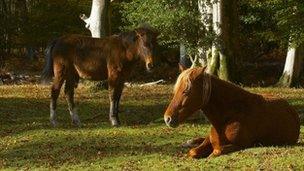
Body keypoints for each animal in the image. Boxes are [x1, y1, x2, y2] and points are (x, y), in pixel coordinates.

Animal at [164, 67, 300, 158]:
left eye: (187, 90)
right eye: (176, 89)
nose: (167, 118)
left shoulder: (241, 145)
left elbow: (216, 151)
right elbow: (193, 151)